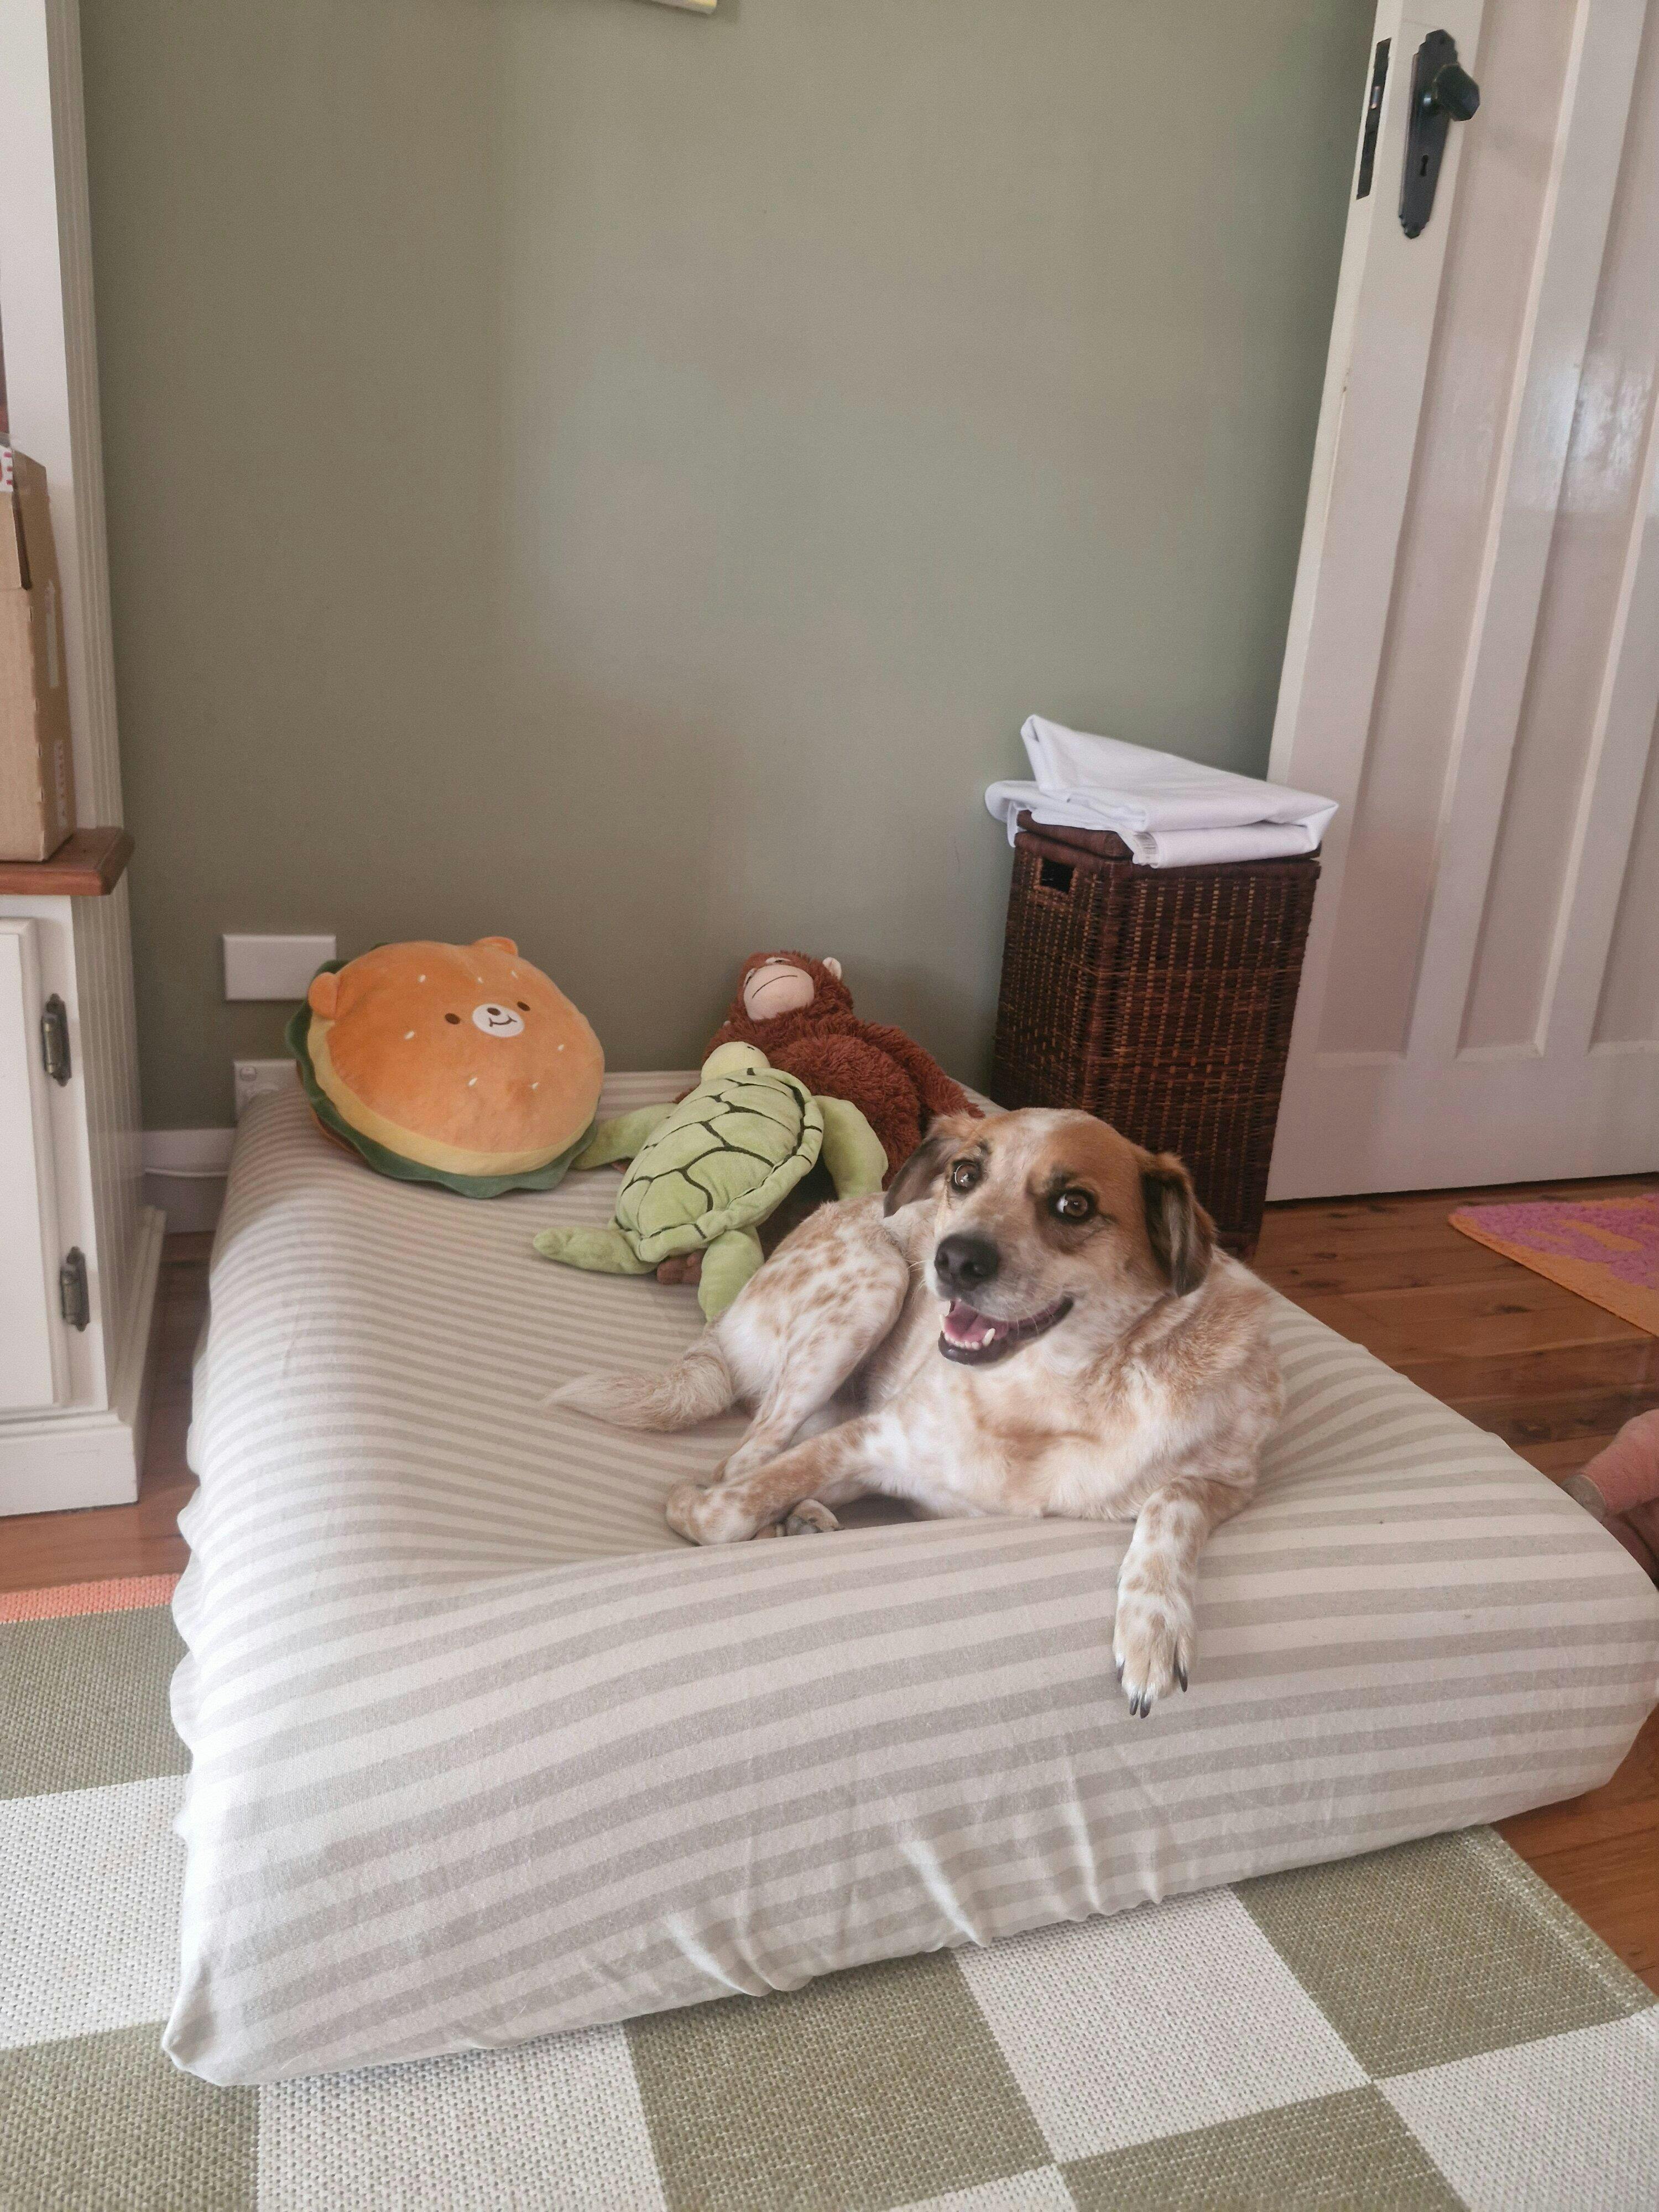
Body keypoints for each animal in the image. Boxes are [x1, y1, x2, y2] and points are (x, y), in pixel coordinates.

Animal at [551, 1109, 1282, 1715]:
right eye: (964, 1175)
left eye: (1073, 1204)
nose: (953, 1257)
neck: (1054, 1393)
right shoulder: (871, 1438)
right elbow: (723, 1510)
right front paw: (689, 1506)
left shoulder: (1231, 1478)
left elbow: (1171, 1505)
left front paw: (1155, 1629)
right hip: (871, 1288)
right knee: (742, 1459)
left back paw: (804, 1519)